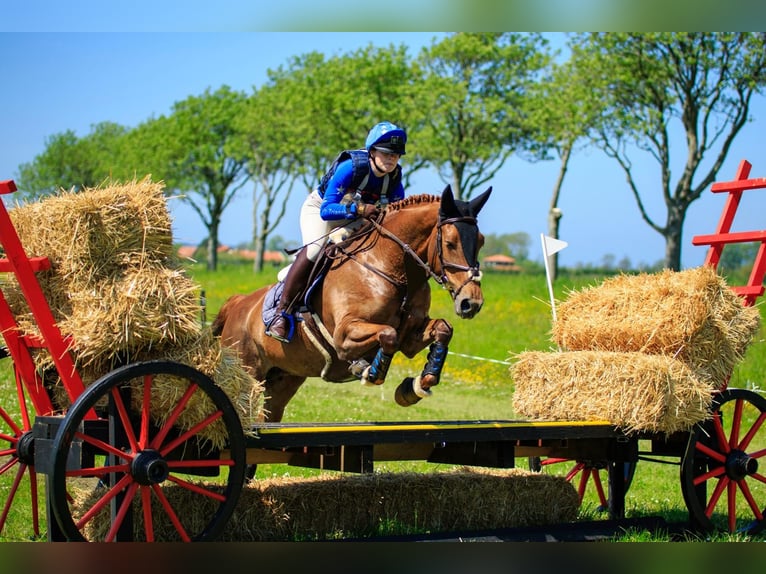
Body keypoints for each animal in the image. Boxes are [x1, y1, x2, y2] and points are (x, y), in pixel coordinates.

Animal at [213, 187, 496, 426]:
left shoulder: (411, 338)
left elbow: (442, 329)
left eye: (481, 241)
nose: (471, 302)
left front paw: (416, 386)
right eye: (450, 243)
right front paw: (370, 371)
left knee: (267, 417)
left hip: (284, 379)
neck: (391, 267)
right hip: (246, 372)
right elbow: (388, 334)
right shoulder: (345, 335)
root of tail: (237, 303)